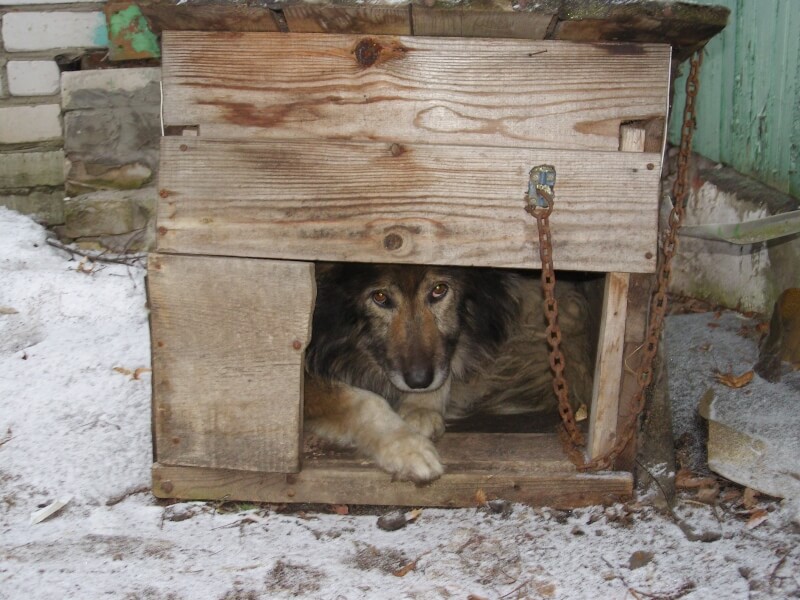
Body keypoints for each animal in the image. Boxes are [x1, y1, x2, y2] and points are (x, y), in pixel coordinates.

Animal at [304, 262, 592, 482]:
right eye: (380, 298)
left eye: (439, 290)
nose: (419, 381)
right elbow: (365, 402)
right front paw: (407, 446)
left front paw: (422, 408)